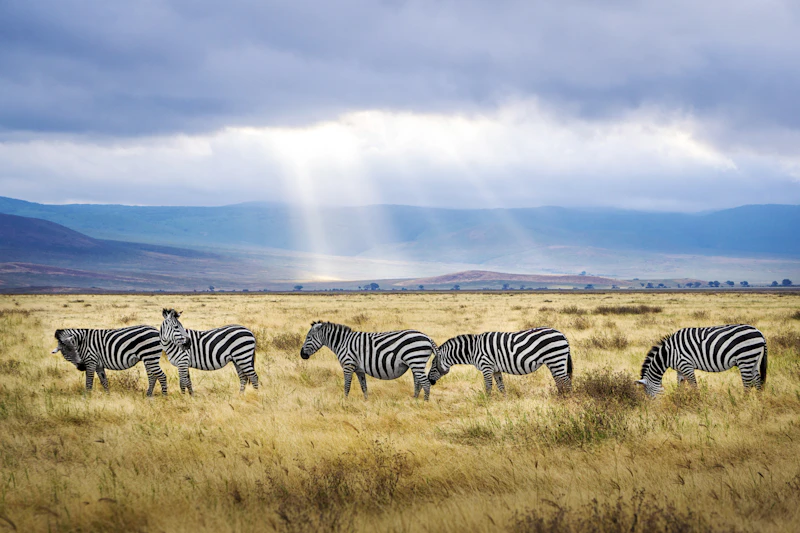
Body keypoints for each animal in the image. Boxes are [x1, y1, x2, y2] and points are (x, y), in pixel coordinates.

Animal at [300, 321, 438, 400]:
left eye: (308, 337)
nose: (302, 355)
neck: (342, 342)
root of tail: (427, 337)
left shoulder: (348, 365)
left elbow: (347, 386)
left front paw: (345, 402)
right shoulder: (359, 369)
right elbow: (364, 386)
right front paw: (366, 402)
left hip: (416, 360)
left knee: (426, 383)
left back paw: (424, 403)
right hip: (415, 363)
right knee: (418, 383)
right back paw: (414, 400)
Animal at [427, 328, 573, 395]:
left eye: (433, 365)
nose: (429, 380)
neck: (473, 350)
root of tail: (562, 334)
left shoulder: (486, 366)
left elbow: (488, 387)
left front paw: (487, 403)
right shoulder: (496, 369)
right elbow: (501, 387)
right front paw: (504, 402)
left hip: (555, 359)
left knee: (566, 381)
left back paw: (567, 399)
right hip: (554, 362)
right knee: (559, 380)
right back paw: (560, 397)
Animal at [637, 324, 767, 398]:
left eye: (648, 394)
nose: (653, 408)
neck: (668, 353)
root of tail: (759, 333)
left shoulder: (686, 365)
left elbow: (694, 385)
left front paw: (697, 402)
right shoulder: (679, 369)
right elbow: (680, 385)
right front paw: (679, 399)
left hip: (745, 358)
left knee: (748, 384)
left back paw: (743, 403)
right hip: (754, 360)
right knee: (757, 381)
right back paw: (759, 403)